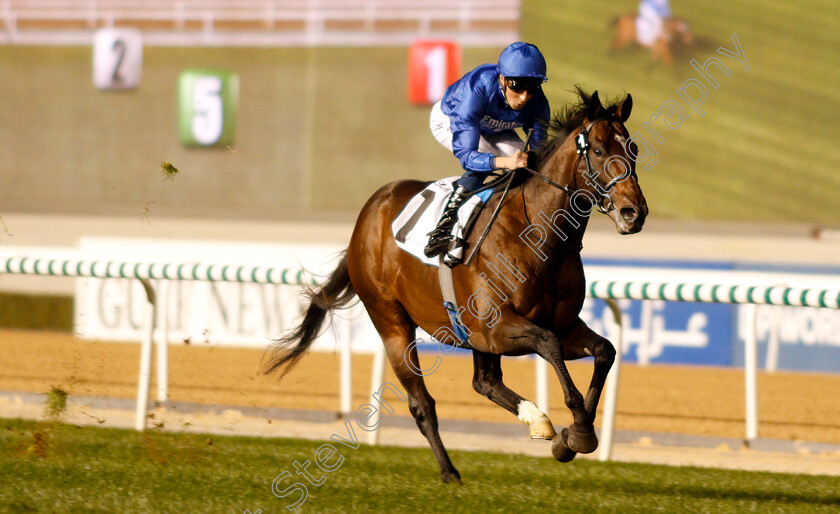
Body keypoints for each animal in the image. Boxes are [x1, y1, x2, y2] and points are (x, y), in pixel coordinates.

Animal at [266, 87, 648, 480]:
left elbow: (604, 350)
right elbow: (549, 344)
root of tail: (369, 213)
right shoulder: (496, 327)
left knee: (485, 382)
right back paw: (450, 472)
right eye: (599, 150)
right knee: (422, 402)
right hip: (391, 321)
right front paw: (579, 432)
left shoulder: (558, 325)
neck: (540, 237)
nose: (633, 212)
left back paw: (536, 420)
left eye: (632, 148)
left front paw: (571, 437)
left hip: (470, 335)